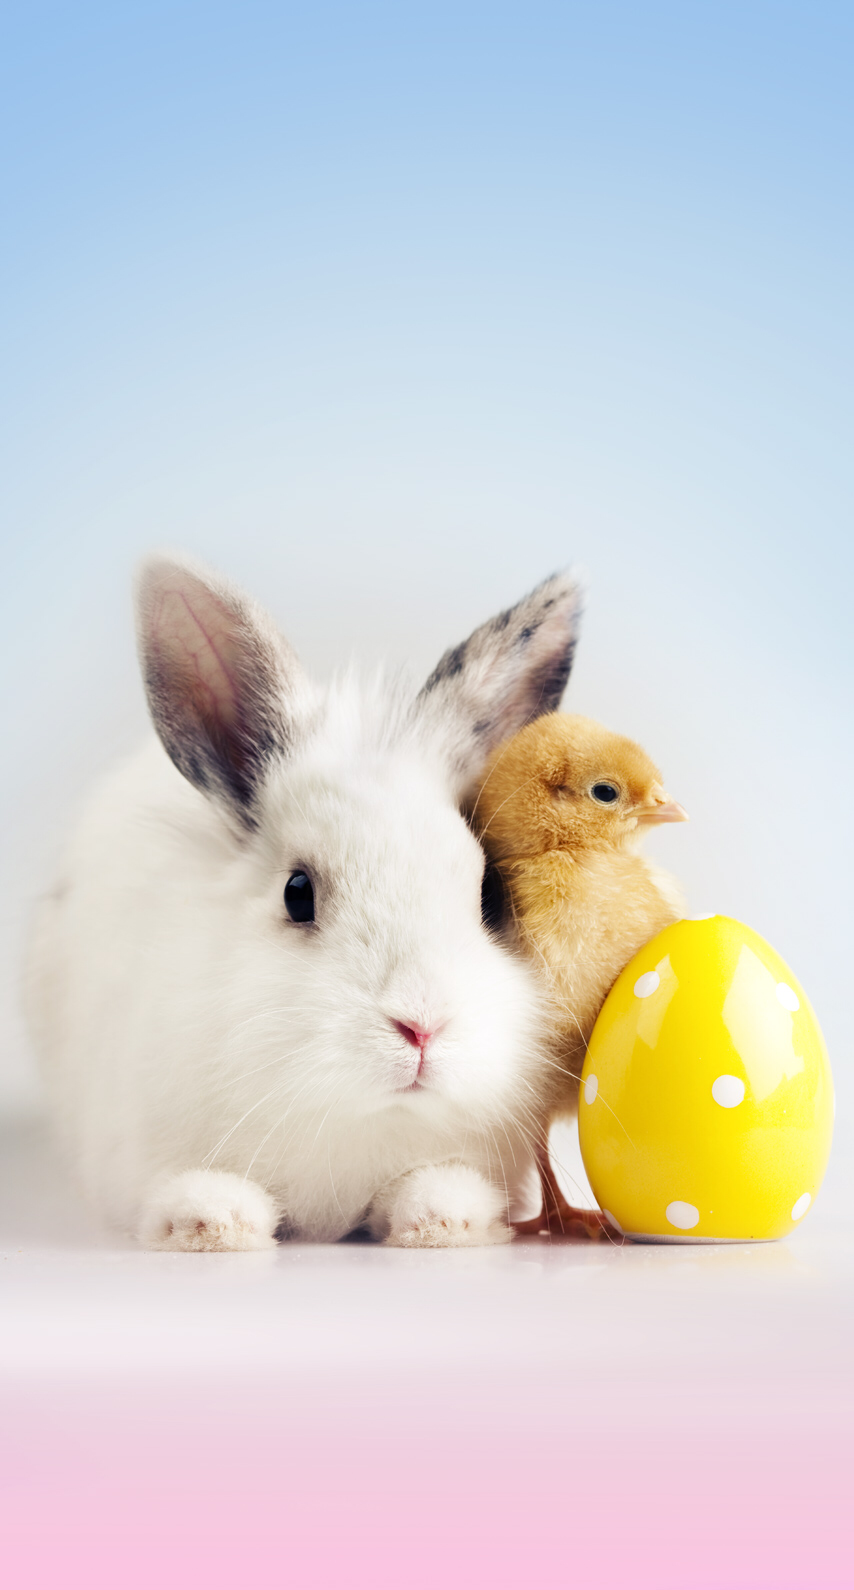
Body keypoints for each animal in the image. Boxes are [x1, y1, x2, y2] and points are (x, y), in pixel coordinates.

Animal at [25, 554, 583, 1251]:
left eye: (490, 895)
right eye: (298, 893)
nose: (422, 1026)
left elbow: (434, 1182)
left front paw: (443, 1220)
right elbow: (191, 1185)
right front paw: (212, 1223)